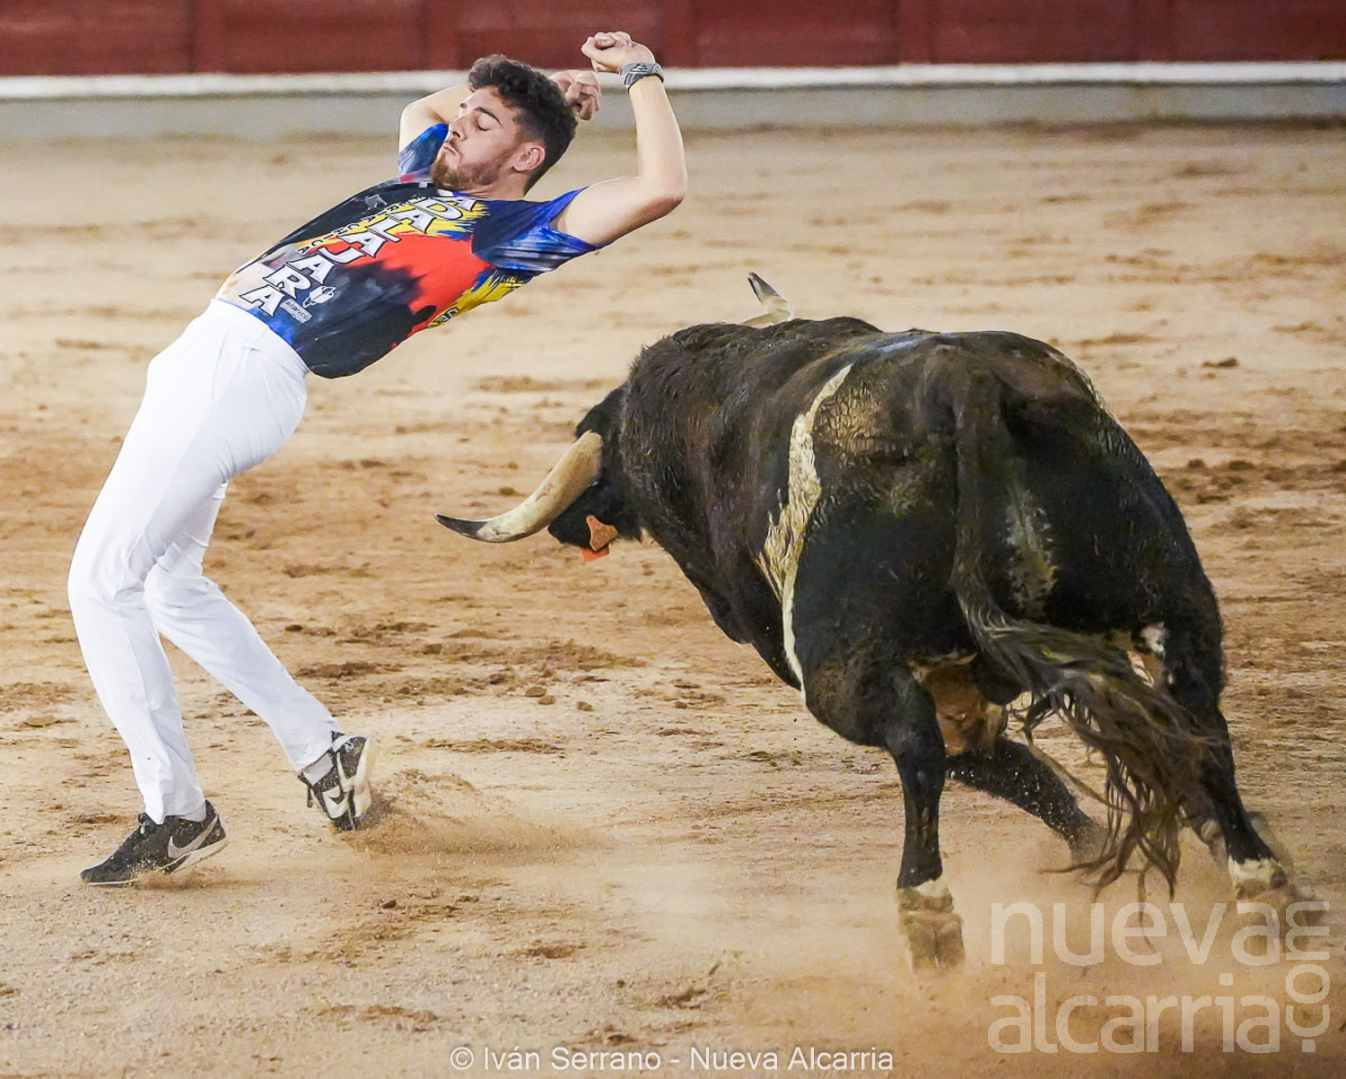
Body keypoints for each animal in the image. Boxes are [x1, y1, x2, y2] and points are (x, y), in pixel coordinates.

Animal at [437, 277, 1299, 969]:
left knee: (920, 751)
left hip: (842, 672)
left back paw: (930, 919)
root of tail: (960, 379)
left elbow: (990, 763)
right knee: (1200, 725)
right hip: (1173, 599)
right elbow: (1035, 774)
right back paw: (1262, 885)